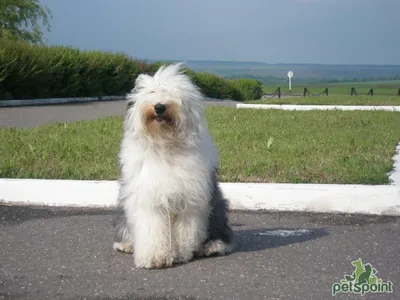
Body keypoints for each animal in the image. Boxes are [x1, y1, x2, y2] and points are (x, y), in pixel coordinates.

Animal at [111, 63, 234, 270]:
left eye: (174, 94)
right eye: (152, 91)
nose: (160, 107)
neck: (165, 145)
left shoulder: (191, 198)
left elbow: (185, 230)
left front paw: (180, 253)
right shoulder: (148, 196)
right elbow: (152, 228)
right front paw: (154, 258)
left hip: (217, 205)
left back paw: (213, 246)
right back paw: (126, 244)